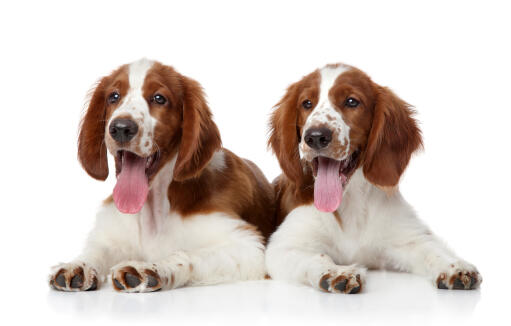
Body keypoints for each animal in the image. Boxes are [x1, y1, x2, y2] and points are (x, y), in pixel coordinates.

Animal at [50, 59, 276, 292]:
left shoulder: (249, 247)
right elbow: (97, 250)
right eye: (113, 96)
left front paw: (149, 268)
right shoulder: (110, 233)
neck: (154, 209)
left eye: (159, 98)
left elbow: (187, 254)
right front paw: (78, 265)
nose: (121, 128)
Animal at [266, 63, 482, 292]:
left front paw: (455, 267)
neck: (350, 203)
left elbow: (432, 249)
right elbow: (317, 257)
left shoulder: (409, 236)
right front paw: (336, 272)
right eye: (307, 103)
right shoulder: (284, 247)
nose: (315, 136)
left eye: (352, 101)